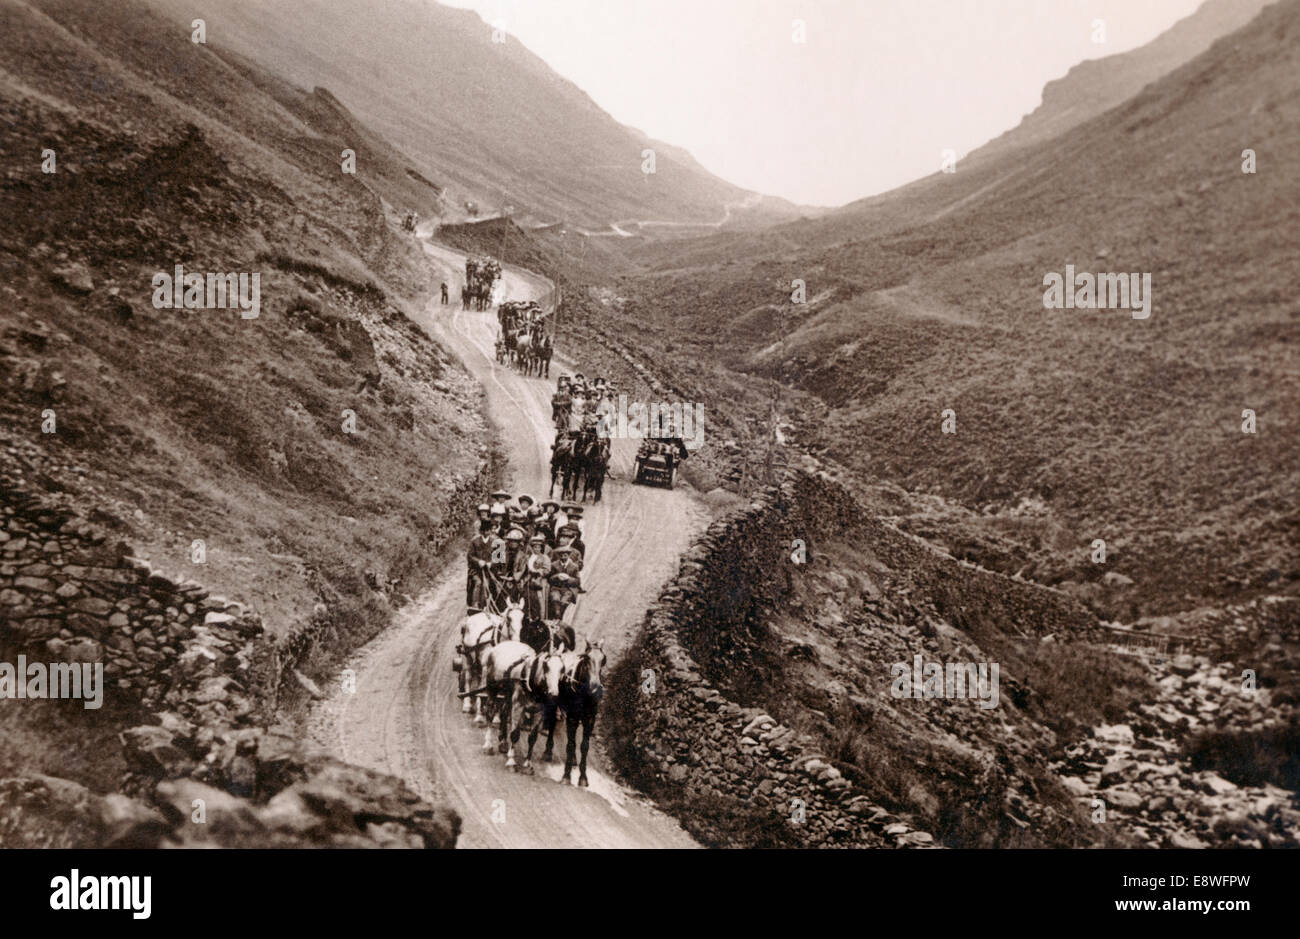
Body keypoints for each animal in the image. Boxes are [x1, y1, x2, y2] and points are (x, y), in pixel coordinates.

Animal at [546, 637, 611, 780]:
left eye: (604, 659)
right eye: (586, 659)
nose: (595, 690)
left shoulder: (590, 719)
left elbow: (584, 746)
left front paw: (583, 777)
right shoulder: (572, 717)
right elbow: (571, 745)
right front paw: (566, 775)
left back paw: (573, 760)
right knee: (552, 723)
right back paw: (547, 752)